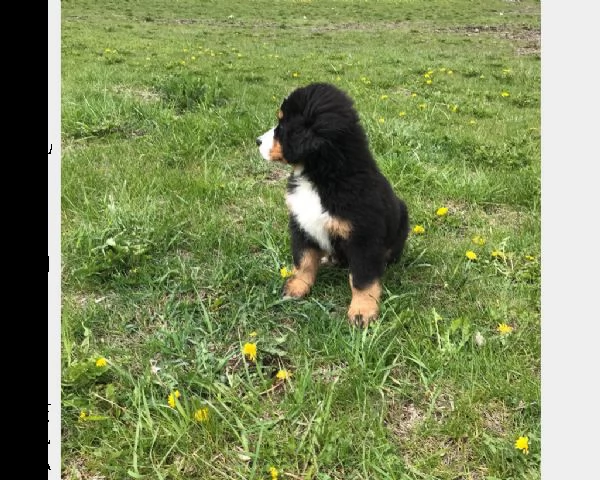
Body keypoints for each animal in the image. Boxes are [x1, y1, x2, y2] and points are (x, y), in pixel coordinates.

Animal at [255, 84, 410, 328]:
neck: (320, 178)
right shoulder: (300, 223)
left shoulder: (363, 237)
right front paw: (296, 287)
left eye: (282, 125)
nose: (257, 141)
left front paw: (362, 311)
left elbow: (362, 279)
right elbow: (304, 260)